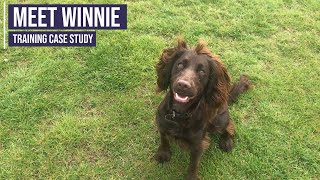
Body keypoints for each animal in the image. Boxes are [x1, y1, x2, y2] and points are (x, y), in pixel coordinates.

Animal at [153, 37, 250, 179]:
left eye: (202, 72)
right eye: (180, 65)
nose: (183, 85)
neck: (179, 115)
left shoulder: (198, 144)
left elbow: (193, 164)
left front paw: (191, 177)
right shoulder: (162, 124)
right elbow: (164, 139)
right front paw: (163, 154)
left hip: (219, 120)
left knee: (229, 125)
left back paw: (226, 141)